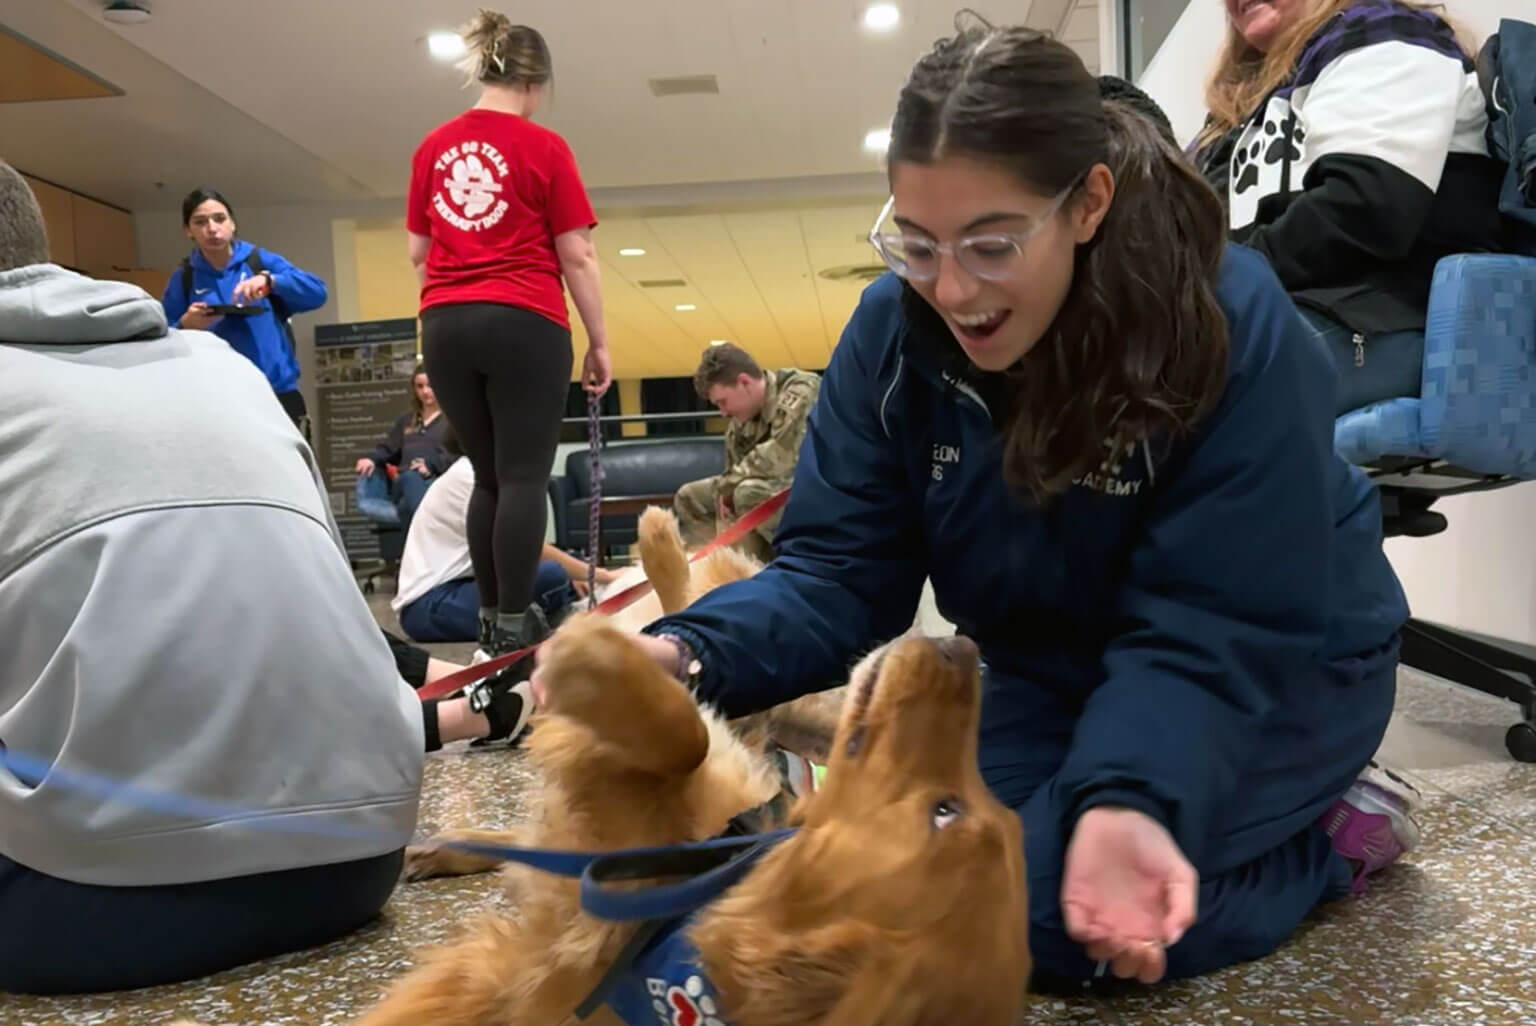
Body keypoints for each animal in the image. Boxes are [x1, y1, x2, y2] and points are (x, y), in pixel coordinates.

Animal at [176, 614, 1032, 1019]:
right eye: (985, 809)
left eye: (946, 812)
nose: (964, 648)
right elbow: (685, 735)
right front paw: (598, 657)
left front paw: (583, 658)